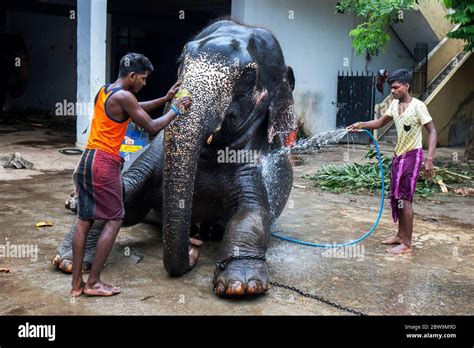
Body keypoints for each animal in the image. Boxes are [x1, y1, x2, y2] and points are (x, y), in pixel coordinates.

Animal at [52, 19, 296, 296]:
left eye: (247, 76)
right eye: (181, 60)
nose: (192, 251)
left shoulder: (254, 164)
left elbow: (252, 213)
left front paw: (242, 286)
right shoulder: (155, 153)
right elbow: (127, 192)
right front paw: (67, 261)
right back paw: (73, 203)